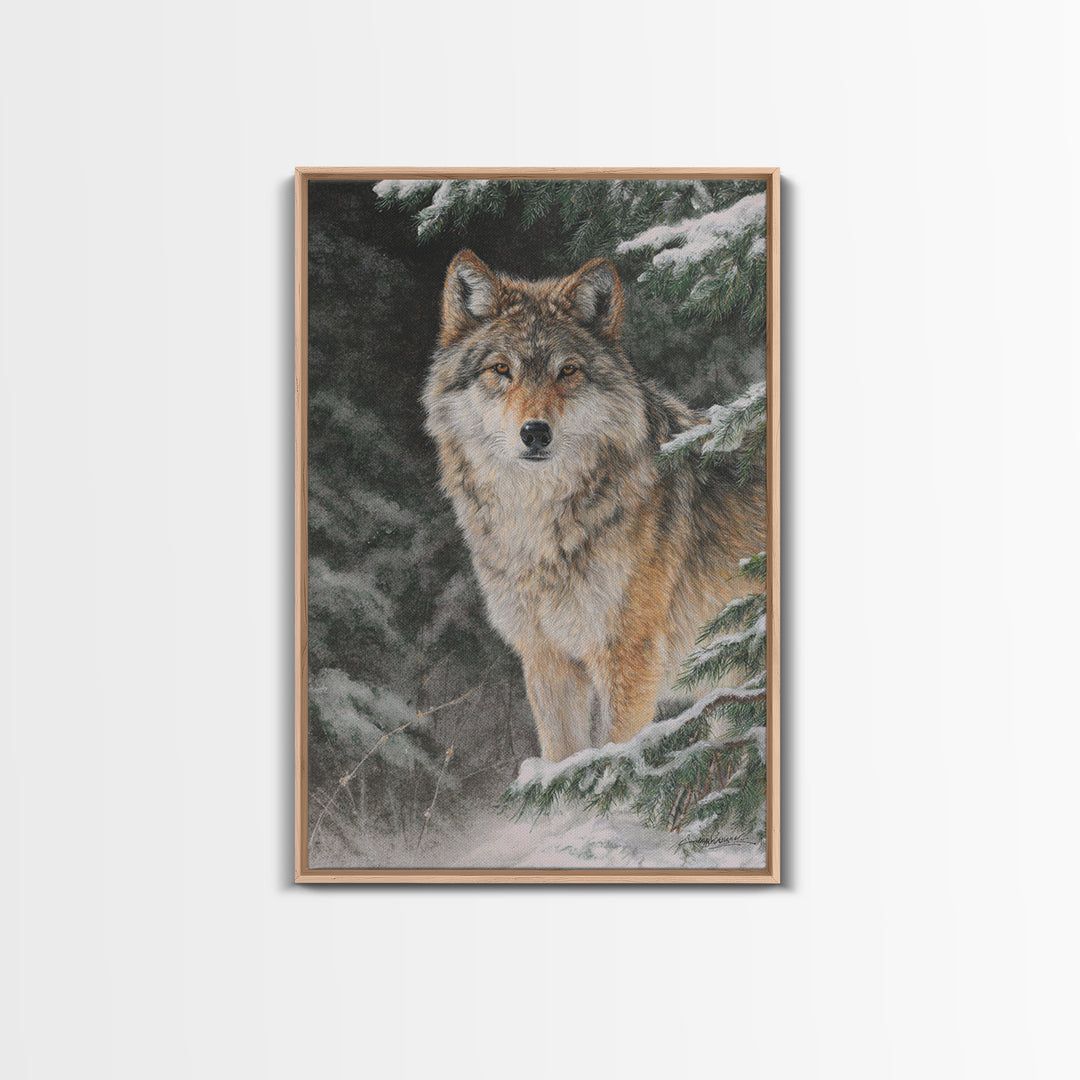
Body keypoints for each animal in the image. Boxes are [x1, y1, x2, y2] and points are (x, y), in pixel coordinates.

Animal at [423, 250, 766, 761]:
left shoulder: (627, 657)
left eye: (567, 371)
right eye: (501, 369)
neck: (540, 527)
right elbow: (564, 763)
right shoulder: (547, 658)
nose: (536, 433)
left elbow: (611, 761)